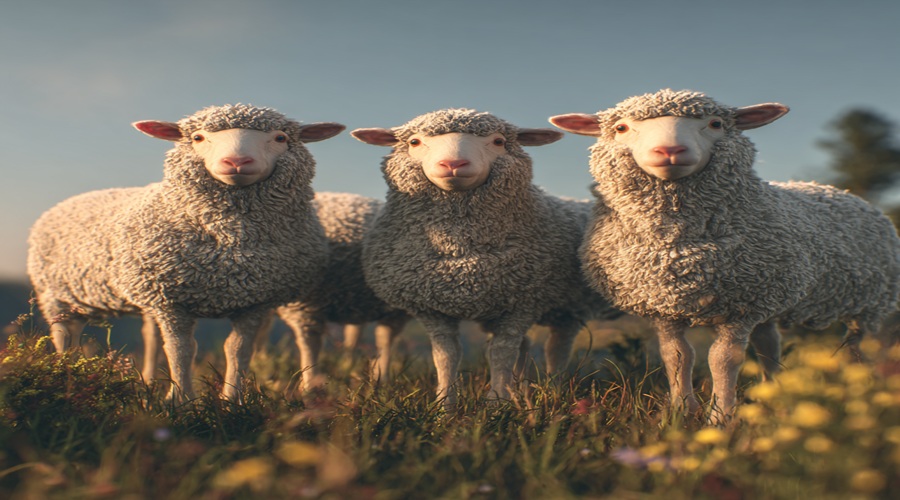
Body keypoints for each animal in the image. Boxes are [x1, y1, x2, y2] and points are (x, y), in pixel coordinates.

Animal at [27, 104, 345, 403]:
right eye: (197, 138)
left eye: (280, 138)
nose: (237, 161)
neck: (232, 245)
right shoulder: (170, 300)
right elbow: (182, 349)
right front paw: (180, 401)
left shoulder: (255, 301)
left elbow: (238, 350)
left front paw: (232, 400)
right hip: (54, 295)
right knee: (65, 334)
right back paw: (66, 372)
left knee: (146, 337)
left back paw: (145, 380)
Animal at [352, 108, 621, 408]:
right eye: (414, 142)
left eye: (498, 141)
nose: (453, 163)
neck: (459, 252)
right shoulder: (432, 308)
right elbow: (446, 355)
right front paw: (445, 405)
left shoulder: (522, 304)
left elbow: (501, 353)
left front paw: (496, 405)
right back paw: (523, 391)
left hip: (566, 306)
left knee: (556, 350)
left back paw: (552, 390)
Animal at [550, 89, 900, 420]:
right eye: (621, 128)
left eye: (716, 124)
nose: (669, 151)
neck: (678, 247)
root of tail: (842, 192)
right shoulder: (664, 307)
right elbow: (677, 356)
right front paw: (682, 411)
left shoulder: (740, 307)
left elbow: (723, 359)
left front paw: (721, 416)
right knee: (769, 346)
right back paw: (772, 396)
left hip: (868, 305)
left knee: (857, 350)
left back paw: (861, 393)